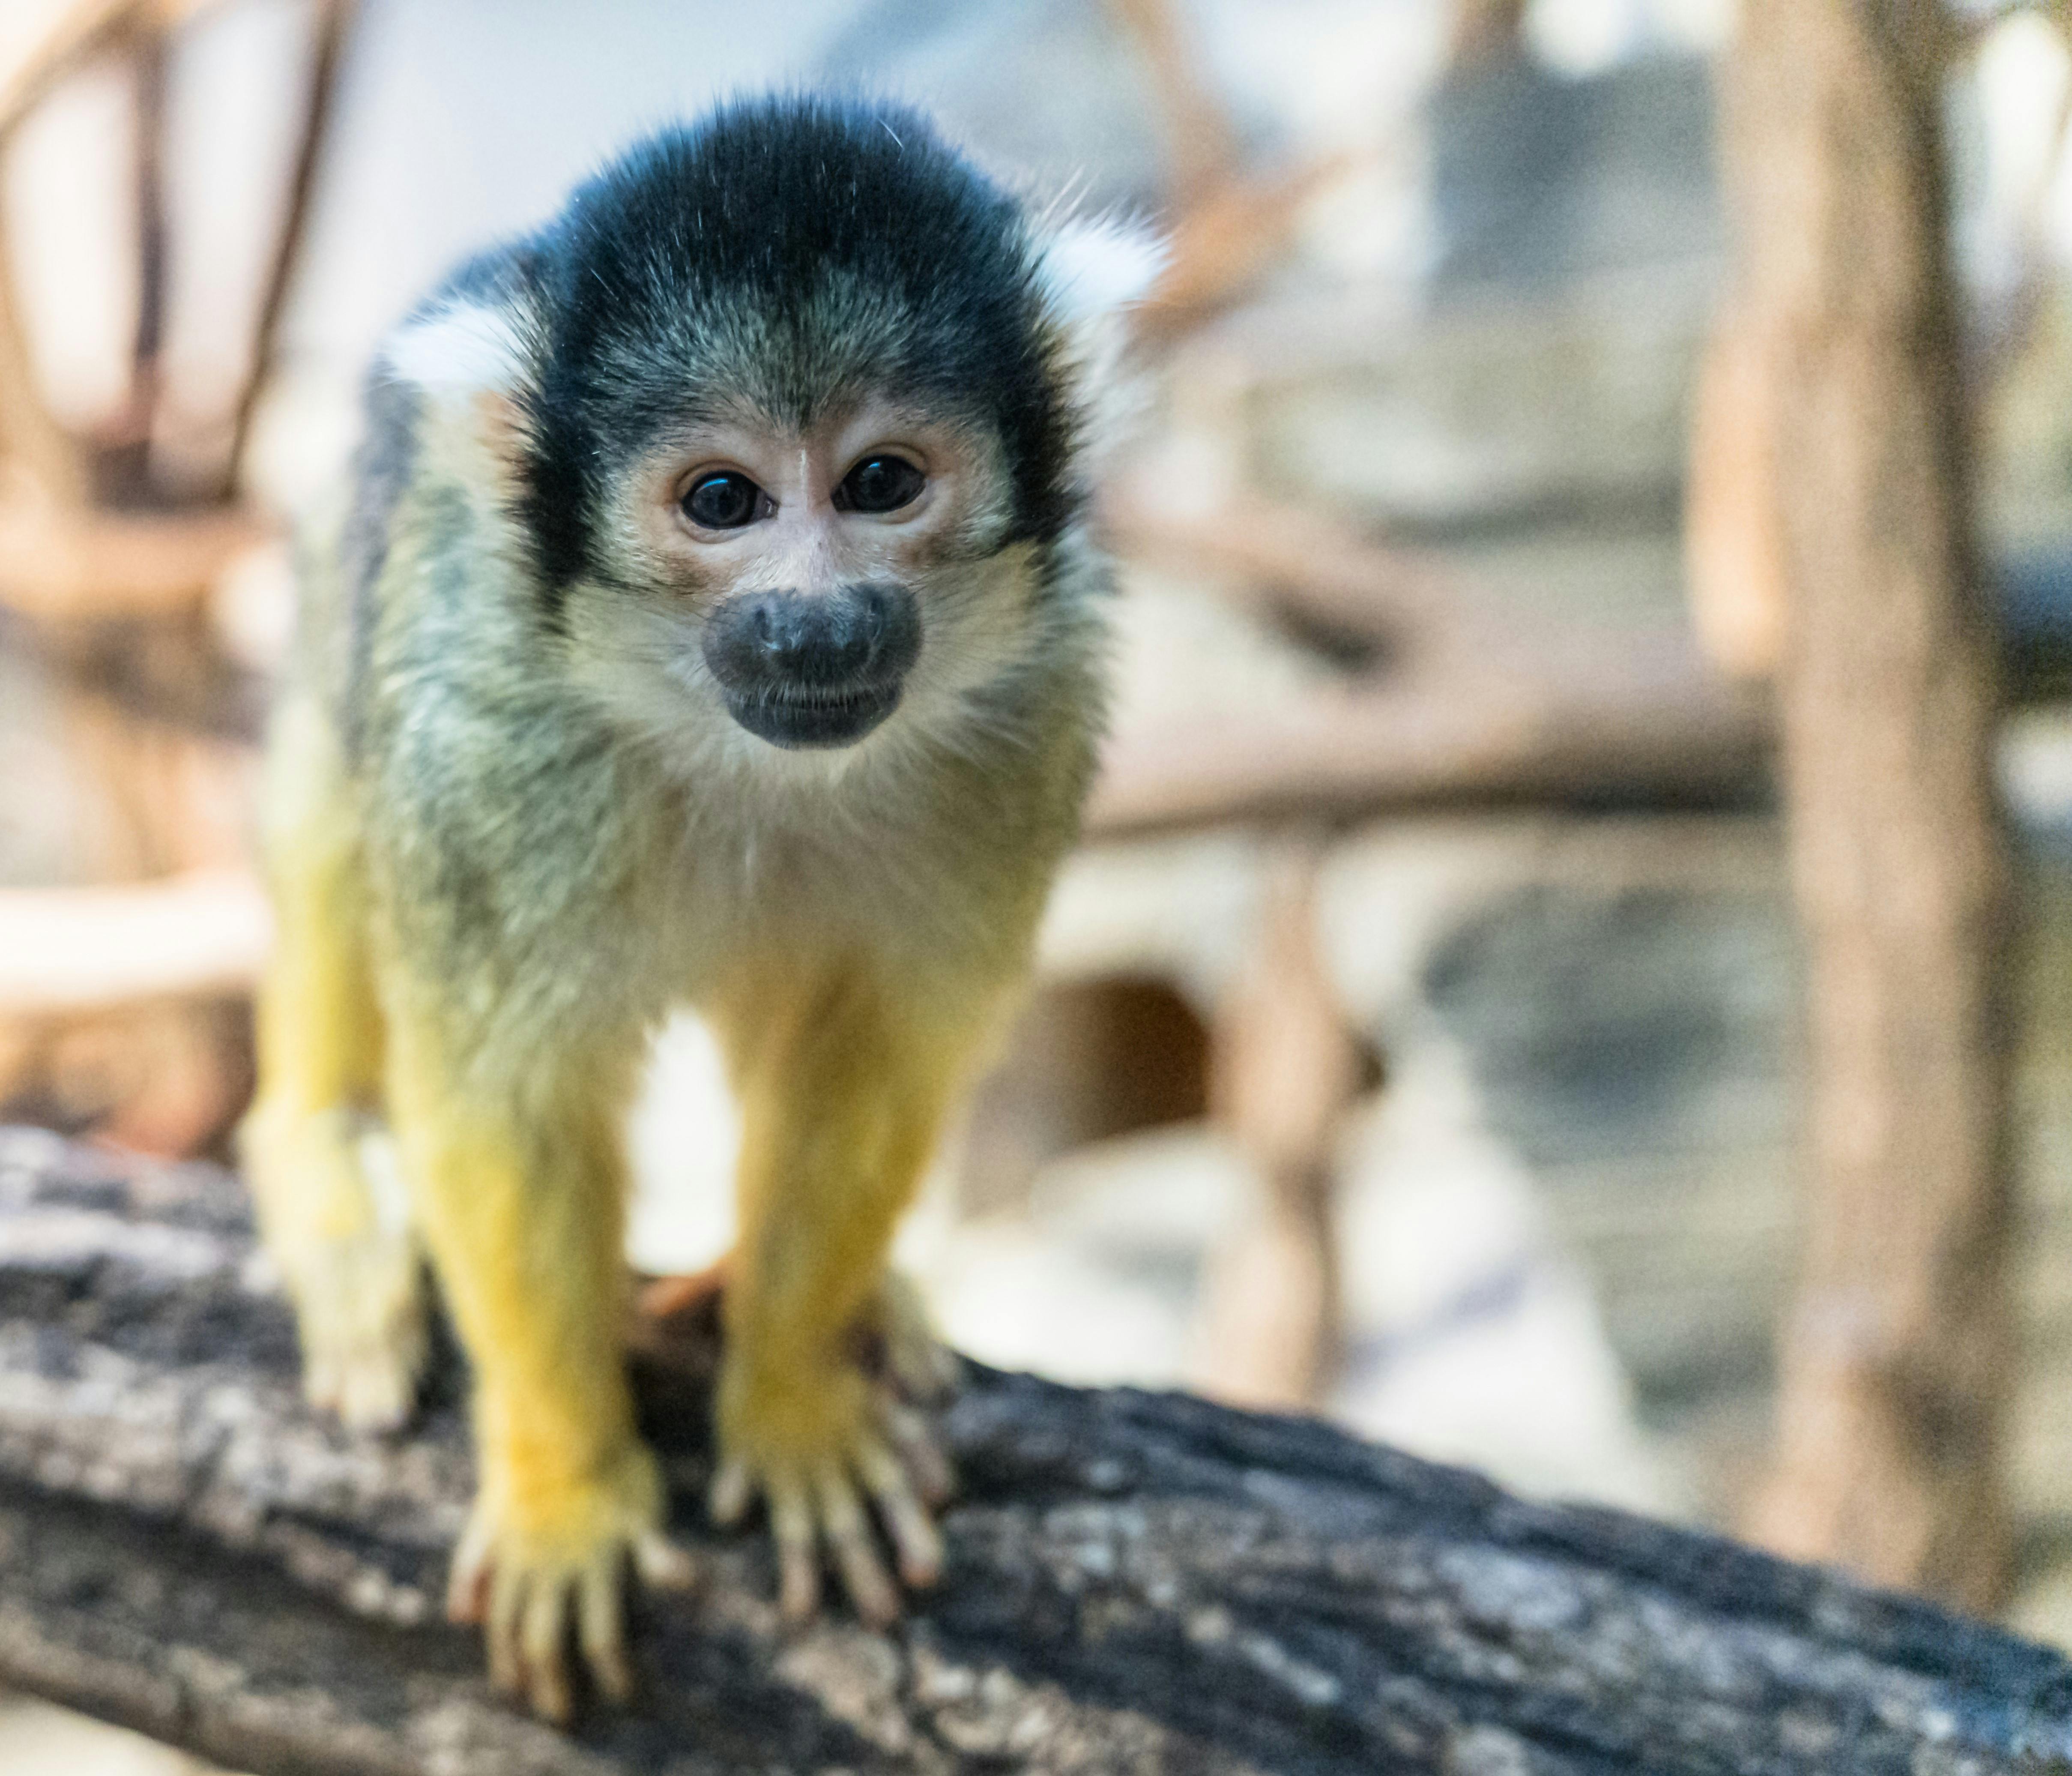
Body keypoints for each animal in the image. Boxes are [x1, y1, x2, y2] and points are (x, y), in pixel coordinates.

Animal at [240, 97, 1160, 1716]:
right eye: (722, 501)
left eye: (880, 483)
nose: (812, 619)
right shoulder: (489, 733)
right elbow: (505, 1098)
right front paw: (564, 1490)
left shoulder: (1033, 721)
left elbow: (872, 1059)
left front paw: (791, 1395)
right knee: (334, 798)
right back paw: (316, 1159)